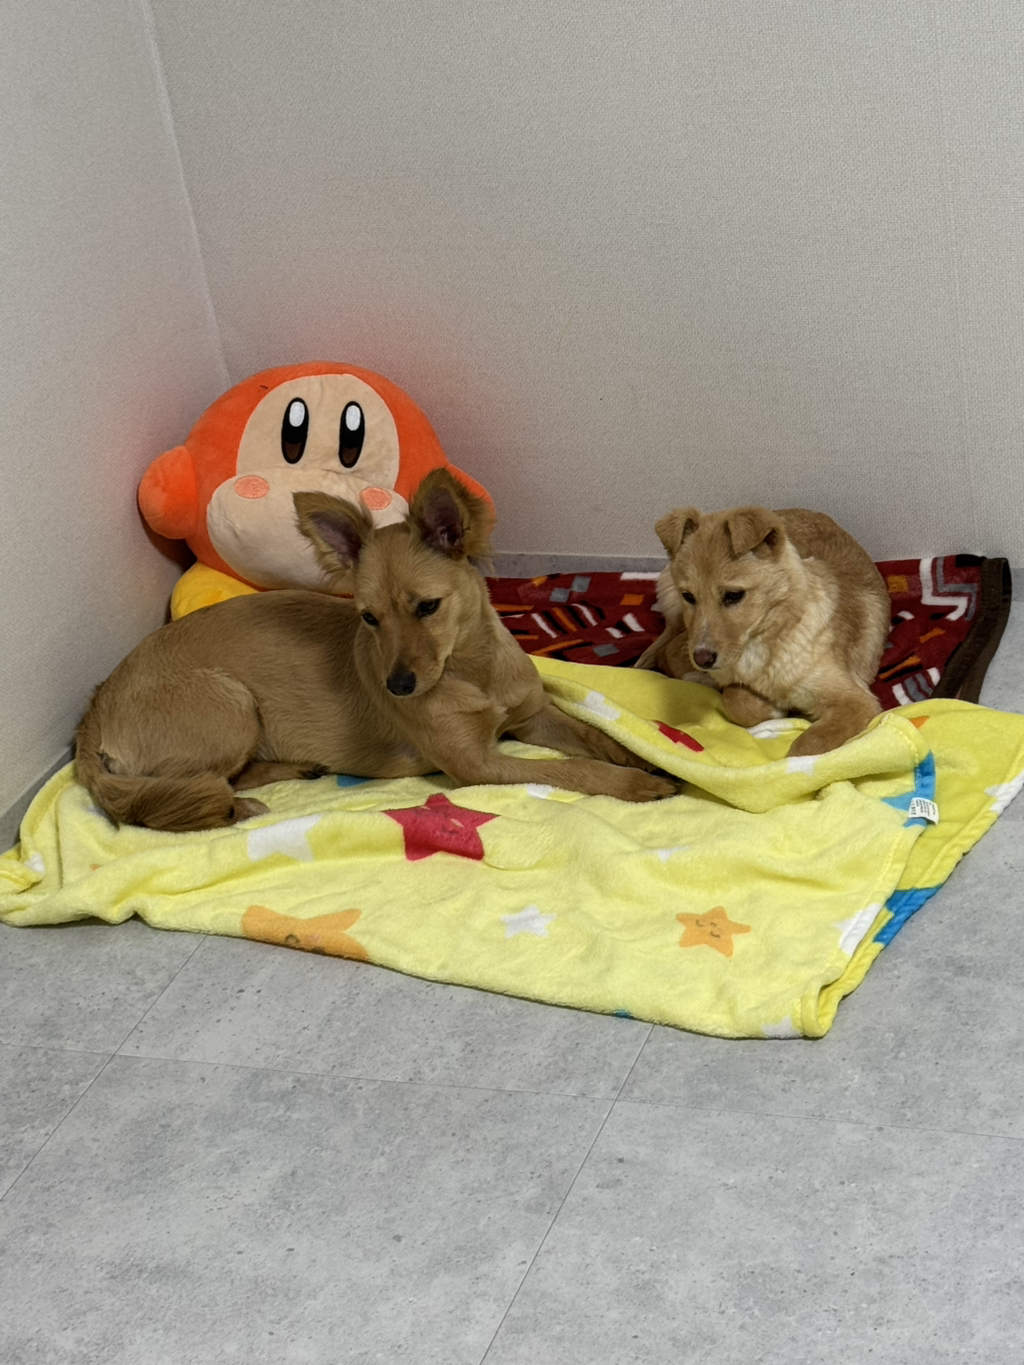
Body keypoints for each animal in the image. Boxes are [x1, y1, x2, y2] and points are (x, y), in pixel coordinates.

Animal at [76, 469, 674, 831]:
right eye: (369, 618)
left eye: (428, 607)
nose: (399, 687)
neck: (470, 671)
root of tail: (94, 710)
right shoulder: (478, 765)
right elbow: (575, 771)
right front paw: (637, 785)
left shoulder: (533, 717)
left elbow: (596, 738)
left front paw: (646, 757)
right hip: (231, 702)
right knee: (199, 785)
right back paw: (240, 803)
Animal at [635, 505, 889, 757]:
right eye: (688, 596)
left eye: (734, 595)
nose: (703, 659)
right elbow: (735, 700)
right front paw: (771, 710)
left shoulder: (855, 702)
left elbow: (808, 746)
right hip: (684, 629)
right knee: (668, 651)